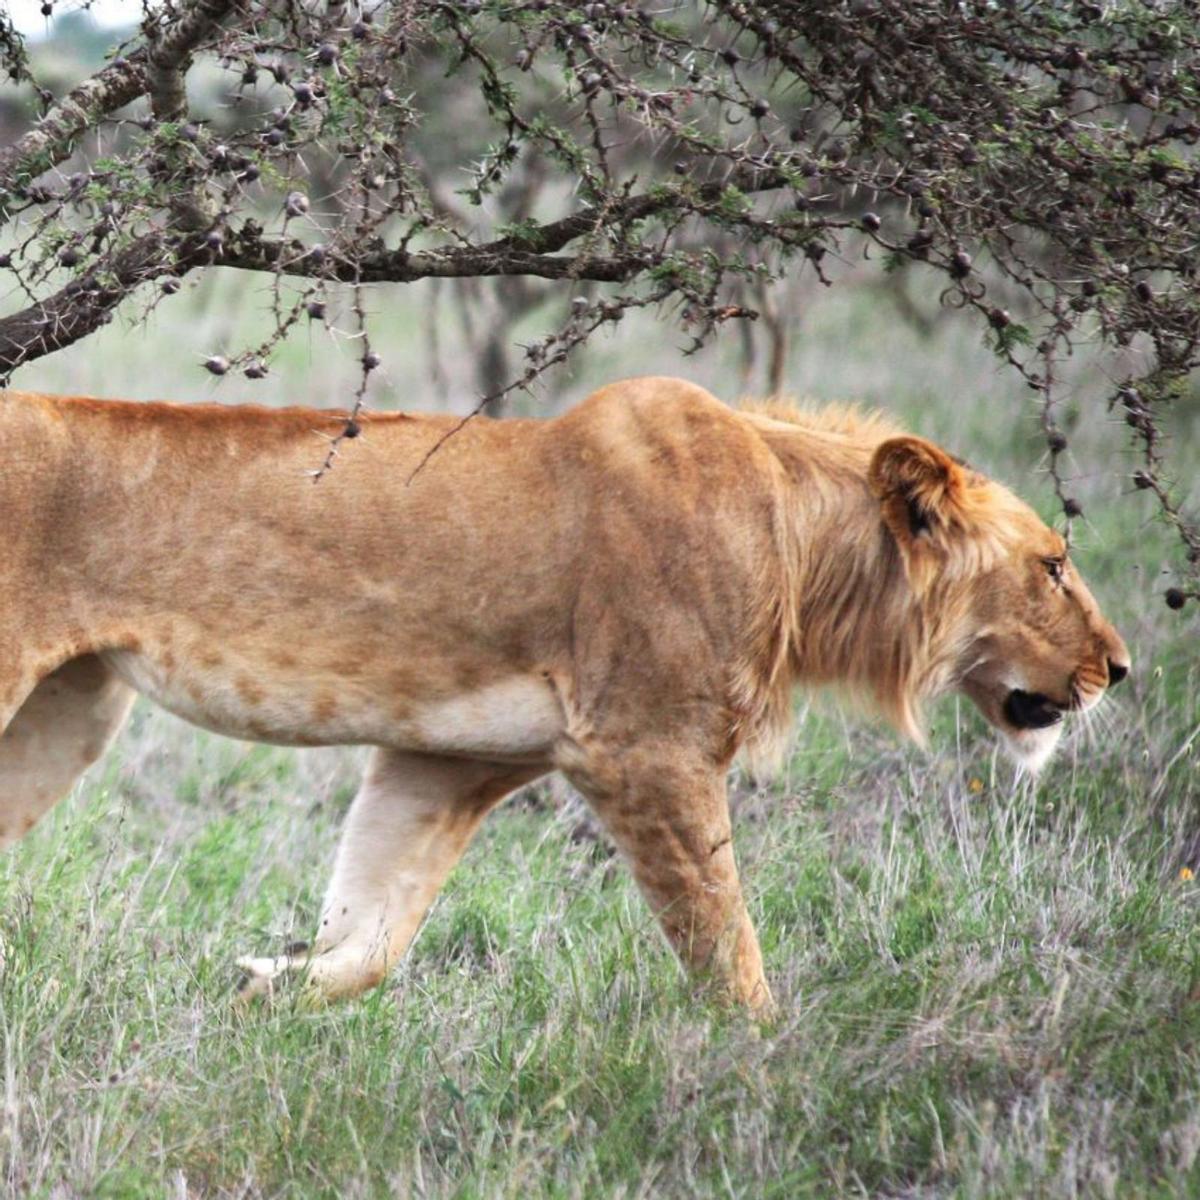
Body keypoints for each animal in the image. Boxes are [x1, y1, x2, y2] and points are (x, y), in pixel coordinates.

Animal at [0, 374, 1123, 1012]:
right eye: (1054, 565)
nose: (1119, 667)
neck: (800, 545)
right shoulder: (644, 750)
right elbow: (726, 943)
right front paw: (767, 1074)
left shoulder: (448, 763)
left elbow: (374, 932)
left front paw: (263, 987)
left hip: (71, 711)